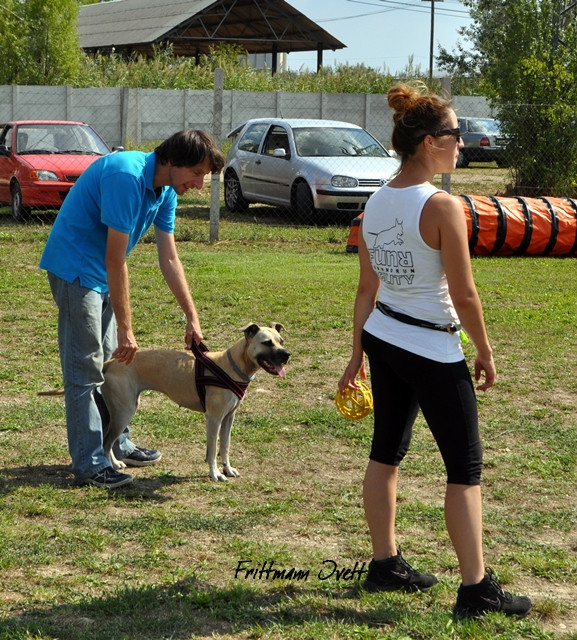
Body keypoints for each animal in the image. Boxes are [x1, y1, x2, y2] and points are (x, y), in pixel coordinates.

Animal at [101, 324, 290, 480]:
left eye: (281, 341)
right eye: (267, 342)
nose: (287, 354)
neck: (233, 365)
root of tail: (110, 363)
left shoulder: (229, 417)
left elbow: (225, 446)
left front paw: (228, 469)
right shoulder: (214, 418)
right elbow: (213, 449)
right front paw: (215, 474)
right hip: (124, 411)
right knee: (107, 441)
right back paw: (113, 466)